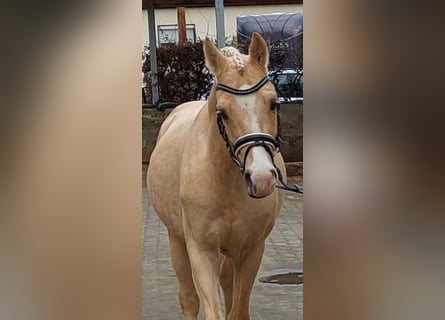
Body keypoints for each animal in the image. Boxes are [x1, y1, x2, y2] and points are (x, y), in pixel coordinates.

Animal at [147, 33, 284, 320]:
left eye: (273, 103)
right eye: (222, 112)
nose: (261, 178)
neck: (225, 182)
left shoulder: (251, 250)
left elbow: (238, 310)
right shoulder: (201, 251)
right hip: (176, 240)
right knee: (189, 298)